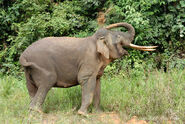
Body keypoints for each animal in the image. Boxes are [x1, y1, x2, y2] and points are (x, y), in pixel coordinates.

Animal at [19, 22, 157, 115]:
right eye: (118, 36)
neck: (95, 39)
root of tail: (23, 56)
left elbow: (97, 83)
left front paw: (98, 114)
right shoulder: (89, 61)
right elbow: (85, 80)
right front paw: (83, 115)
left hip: (29, 72)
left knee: (32, 88)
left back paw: (34, 112)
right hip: (42, 68)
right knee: (46, 84)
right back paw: (37, 113)